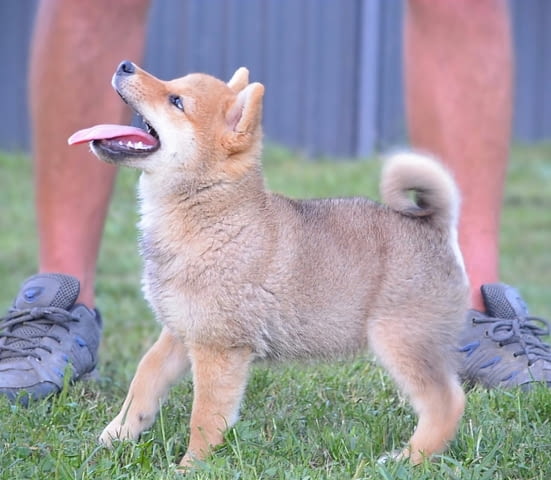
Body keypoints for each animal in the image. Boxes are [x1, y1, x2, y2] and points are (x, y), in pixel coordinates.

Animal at [67, 60, 468, 468]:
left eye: (176, 100)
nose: (125, 65)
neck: (212, 219)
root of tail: (433, 227)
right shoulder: (182, 331)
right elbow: (145, 379)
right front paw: (117, 434)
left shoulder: (220, 349)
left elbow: (204, 417)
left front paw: (191, 465)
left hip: (402, 340)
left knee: (446, 402)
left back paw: (410, 457)